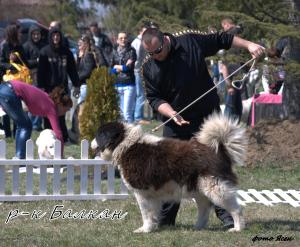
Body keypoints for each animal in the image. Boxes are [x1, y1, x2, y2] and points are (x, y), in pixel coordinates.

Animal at [91, 114, 246, 233]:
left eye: (97, 135)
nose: (91, 142)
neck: (125, 145)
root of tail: (218, 150)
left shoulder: (142, 193)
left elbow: (146, 213)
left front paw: (145, 229)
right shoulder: (152, 195)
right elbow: (153, 213)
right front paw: (152, 227)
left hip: (214, 187)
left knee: (235, 208)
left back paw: (237, 228)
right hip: (199, 189)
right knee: (204, 209)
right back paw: (197, 227)